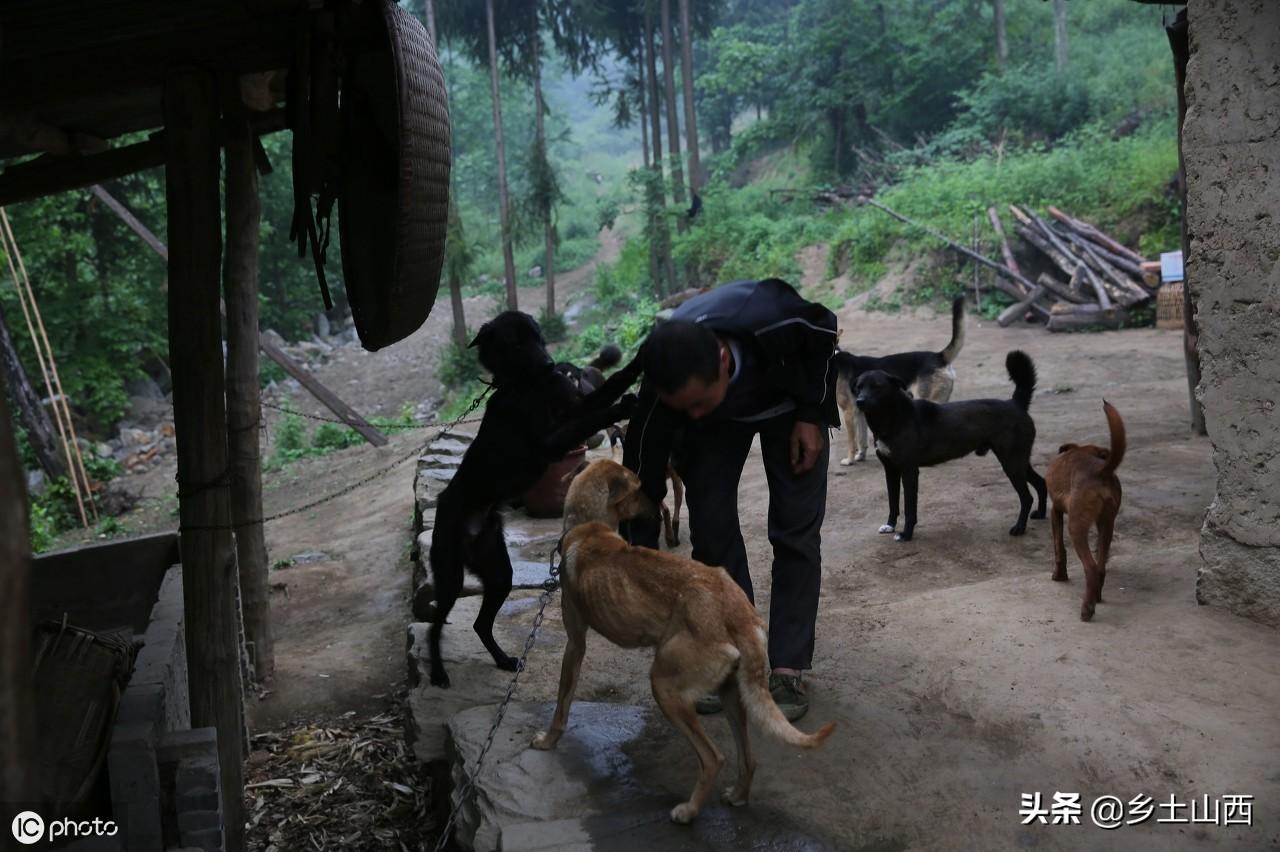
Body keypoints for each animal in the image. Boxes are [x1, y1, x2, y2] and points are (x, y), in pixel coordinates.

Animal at [427, 312, 640, 685]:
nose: (551, 363)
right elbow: (594, 416)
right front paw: (621, 406)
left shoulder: (571, 407)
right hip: (450, 578)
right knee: (434, 626)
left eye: (539, 337)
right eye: (516, 343)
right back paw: (438, 671)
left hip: (498, 572)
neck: (528, 387)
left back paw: (502, 660)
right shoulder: (551, 441)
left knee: (480, 624)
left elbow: (604, 390)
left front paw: (638, 364)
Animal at [535, 457, 834, 823]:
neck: (589, 526)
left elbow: (562, 702)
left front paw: (548, 740)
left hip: (665, 687)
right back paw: (738, 795)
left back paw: (689, 811)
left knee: (714, 757)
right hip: (732, 693)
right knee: (748, 757)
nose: (656, 507)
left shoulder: (575, 643)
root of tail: (737, 611)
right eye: (638, 488)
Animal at [834, 295, 962, 460]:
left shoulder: (848, 412)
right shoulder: (859, 410)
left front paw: (849, 460)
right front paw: (860, 457)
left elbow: (852, 442)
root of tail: (939, 357)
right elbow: (862, 441)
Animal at [855, 347, 1044, 539]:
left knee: (1026, 497)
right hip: (1018, 460)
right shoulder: (891, 470)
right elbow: (893, 503)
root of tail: (1016, 403)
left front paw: (906, 534)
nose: (859, 401)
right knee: (1041, 482)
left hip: (1012, 462)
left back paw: (1019, 528)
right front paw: (890, 525)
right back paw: (1041, 514)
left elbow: (909, 508)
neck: (895, 417)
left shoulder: (909, 471)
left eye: (877, 386)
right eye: (859, 387)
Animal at [1049, 401, 1121, 621]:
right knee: (1100, 568)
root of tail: (1102, 472)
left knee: (1090, 567)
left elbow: (1059, 547)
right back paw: (1096, 596)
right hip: (1107, 524)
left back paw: (1087, 609)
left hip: (1076, 527)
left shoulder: (1055, 511)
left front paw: (1059, 575)